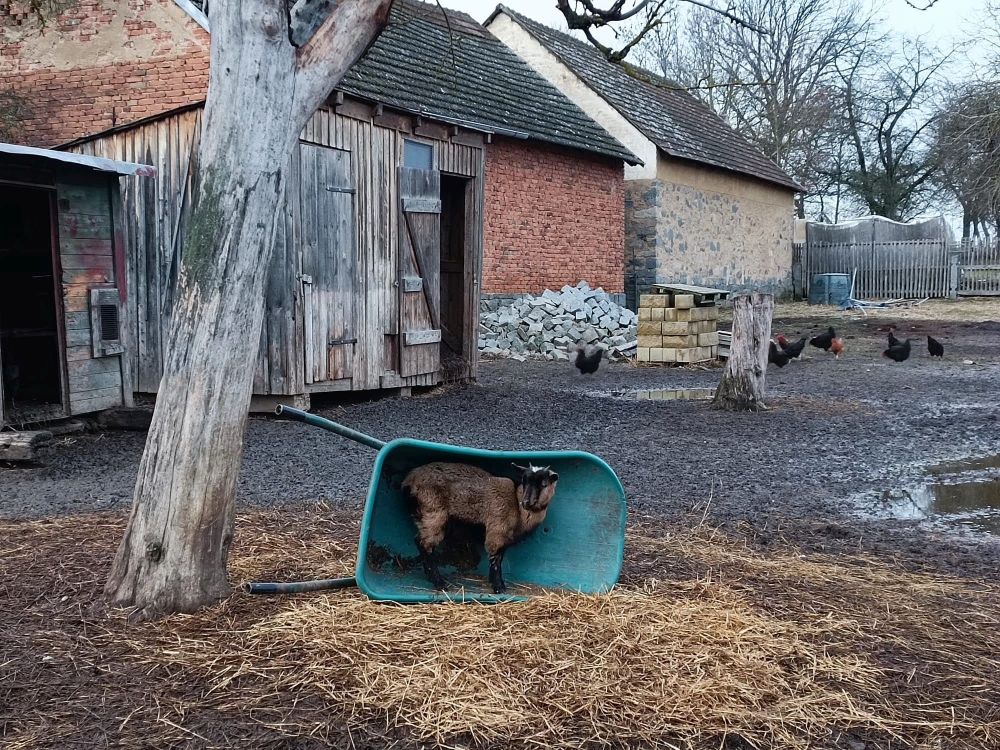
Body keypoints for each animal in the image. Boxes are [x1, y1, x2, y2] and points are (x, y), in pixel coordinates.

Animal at [402, 462, 560, 596]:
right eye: (524, 481)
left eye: (543, 484)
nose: (526, 502)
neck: (517, 508)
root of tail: (410, 480)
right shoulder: (496, 531)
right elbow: (495, 561)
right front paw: (498, 588)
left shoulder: (505, 538)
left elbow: (499, 558)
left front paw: (496, 584)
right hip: (433, 511)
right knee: (424, 544)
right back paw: (440, 583)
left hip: (424, 515)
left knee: (421, 542)